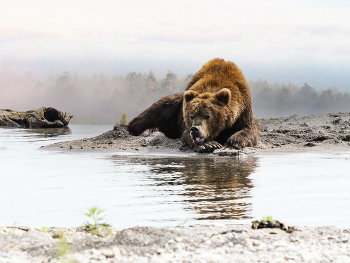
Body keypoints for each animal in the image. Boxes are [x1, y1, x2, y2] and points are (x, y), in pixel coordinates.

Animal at [127, 57, 258, 153]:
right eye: (191, 115)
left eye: (207, 115)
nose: (195, 129)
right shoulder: (184, 122)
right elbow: (186, 135)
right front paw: (209, 145)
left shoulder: (242, 112)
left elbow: (248, 130)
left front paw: (232, 142)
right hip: (173, 108)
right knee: (152, 113)